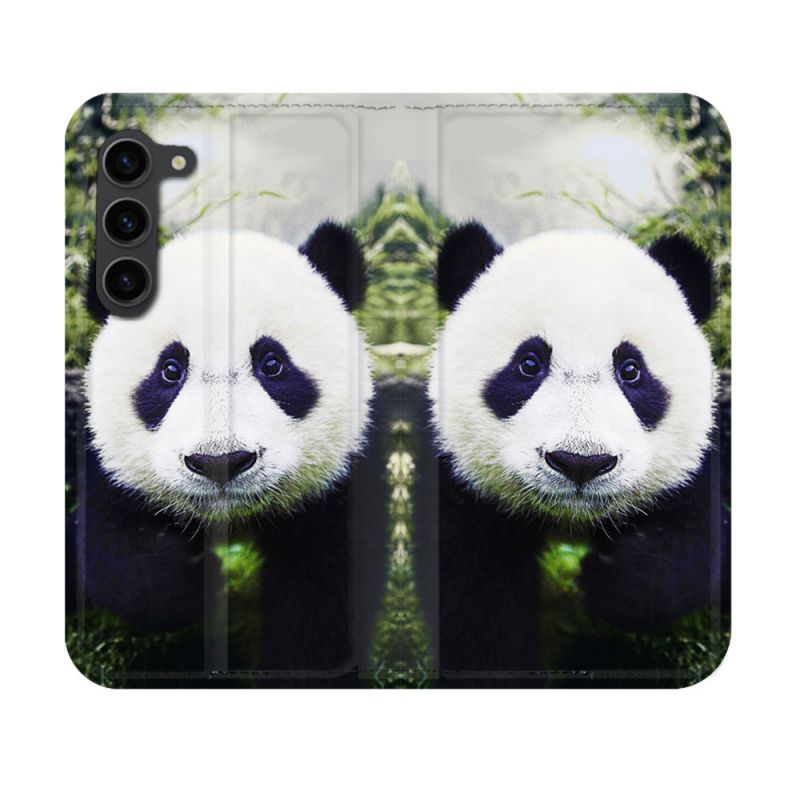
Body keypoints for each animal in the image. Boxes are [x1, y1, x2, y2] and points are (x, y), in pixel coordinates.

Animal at [68, 222, 379, 684]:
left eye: (273, 364)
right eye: (170, 370)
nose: (220, 462)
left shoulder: (334, 493)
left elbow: (322, 604)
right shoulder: (113, 470)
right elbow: (114, 551)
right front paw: (199, 579)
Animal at [428, 223, 730, 684]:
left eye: (631, 370)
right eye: (528, 364)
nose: (580, 462)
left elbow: (694, 539)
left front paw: (614, 579)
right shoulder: (466, 493)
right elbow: (476, 604)